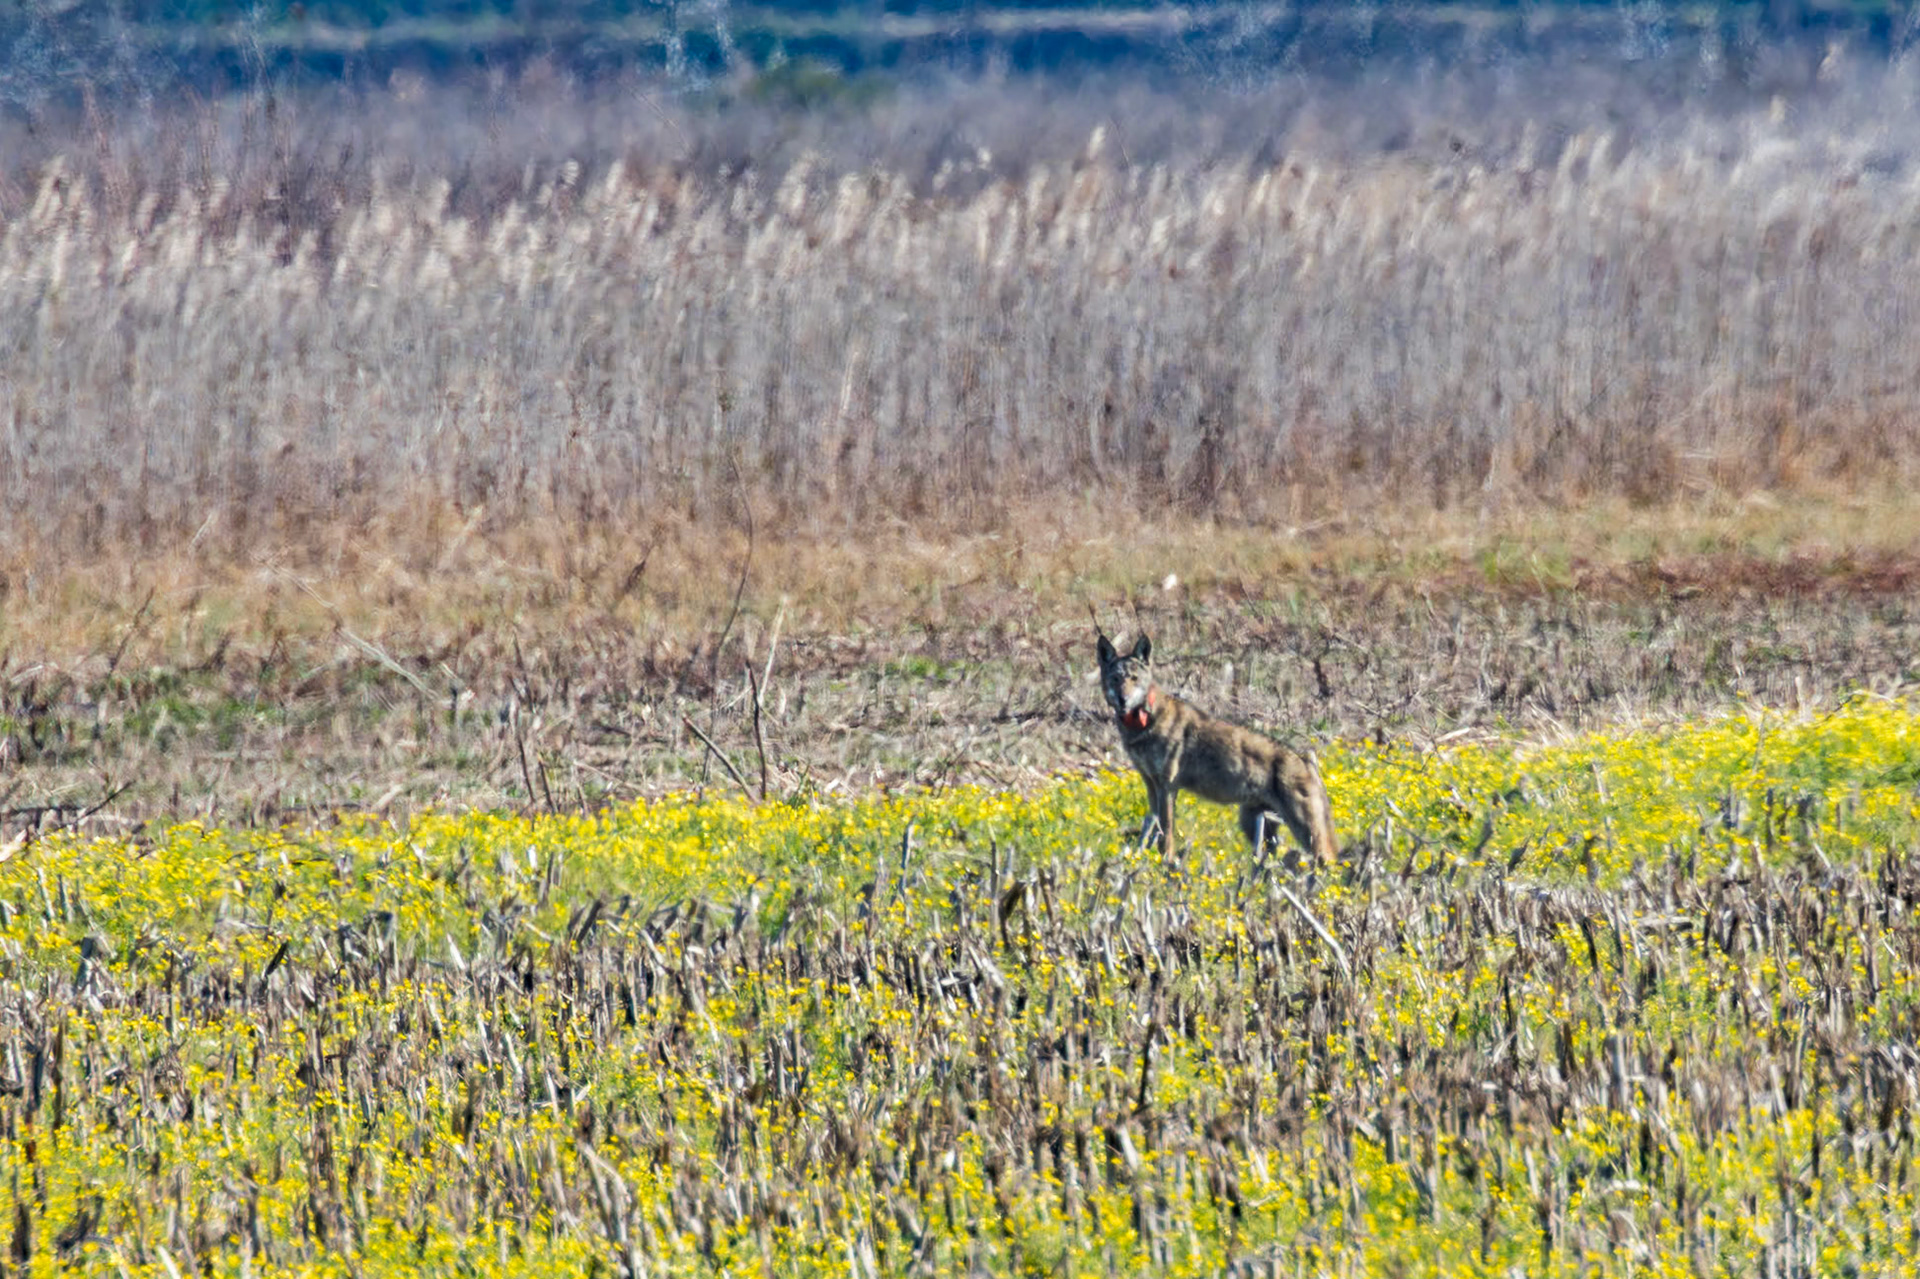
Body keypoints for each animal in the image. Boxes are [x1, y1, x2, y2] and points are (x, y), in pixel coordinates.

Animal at [1096, 631, 1338, 864]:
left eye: (1133, 679)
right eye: (1115, 679)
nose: (1123, 699)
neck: (1143, 723)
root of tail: (1307, 761)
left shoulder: (1168, 787)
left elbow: (1167, 836)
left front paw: (1165, 863)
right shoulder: (1151, 785)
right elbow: (1153, 831)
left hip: (1305, 832)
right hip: (1255, 824)